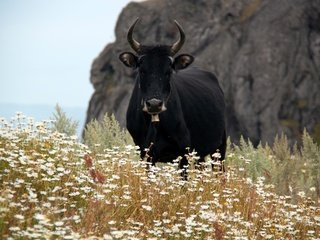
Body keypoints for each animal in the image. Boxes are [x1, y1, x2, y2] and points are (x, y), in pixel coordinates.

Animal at [119, 18, 226, 172]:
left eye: (168, 71)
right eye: (141, 70)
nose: (154, 104)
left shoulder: (184, 151)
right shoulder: (145, 154)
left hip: (219, 147)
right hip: (200, 154)